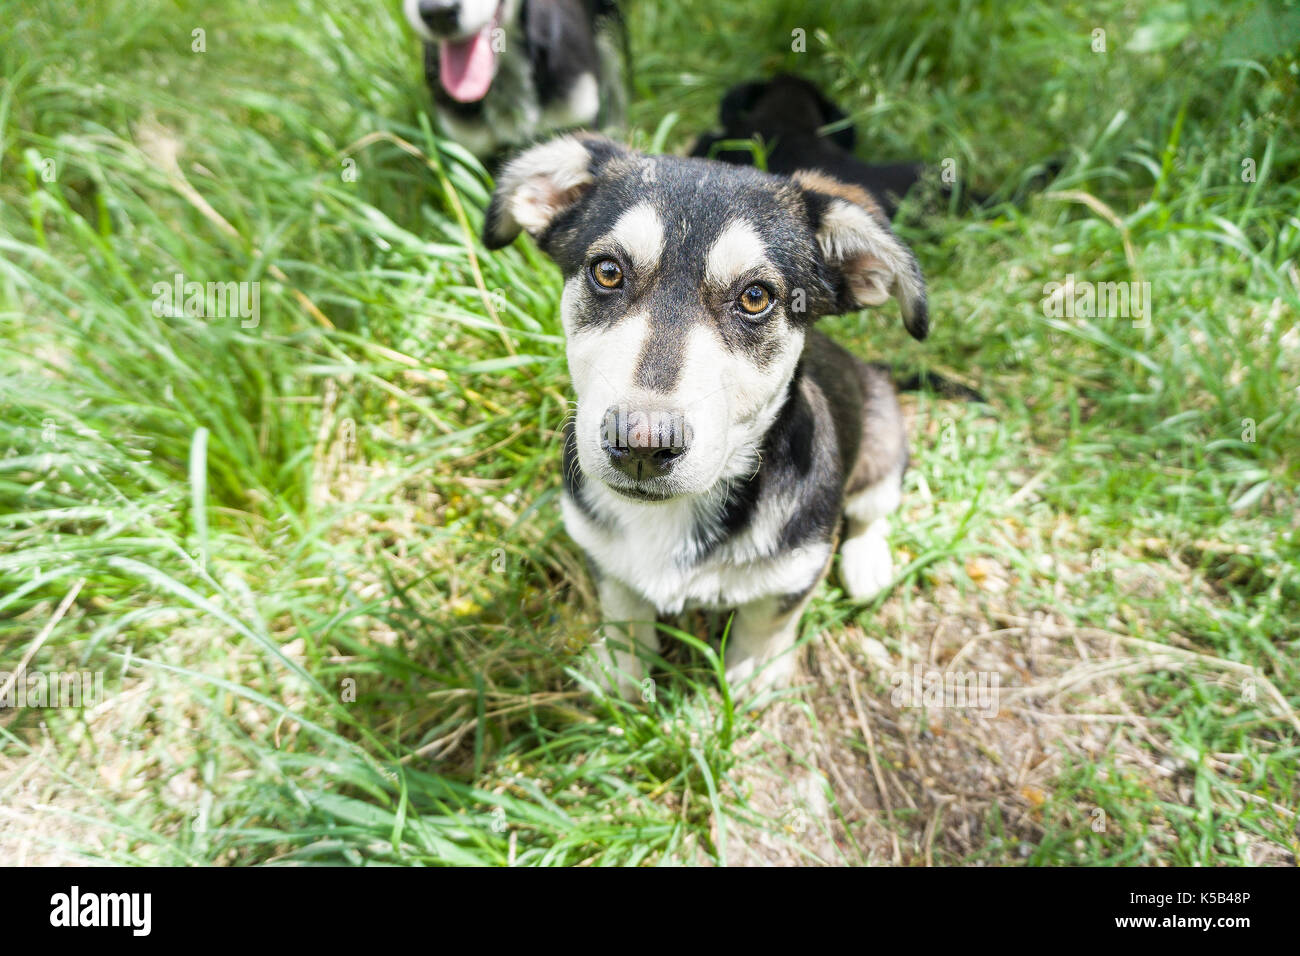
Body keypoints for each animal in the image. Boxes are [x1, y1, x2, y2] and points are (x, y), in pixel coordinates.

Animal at [483, 134, 930, 697]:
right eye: (607, 271)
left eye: (756, 297)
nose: (642, 445)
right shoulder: (600, 553)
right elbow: (622, 610)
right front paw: (622, 674)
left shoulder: (798, 567)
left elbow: (767, 622)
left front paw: (753, 675)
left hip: (883, 447)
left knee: (873, 511)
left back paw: (867, 564)